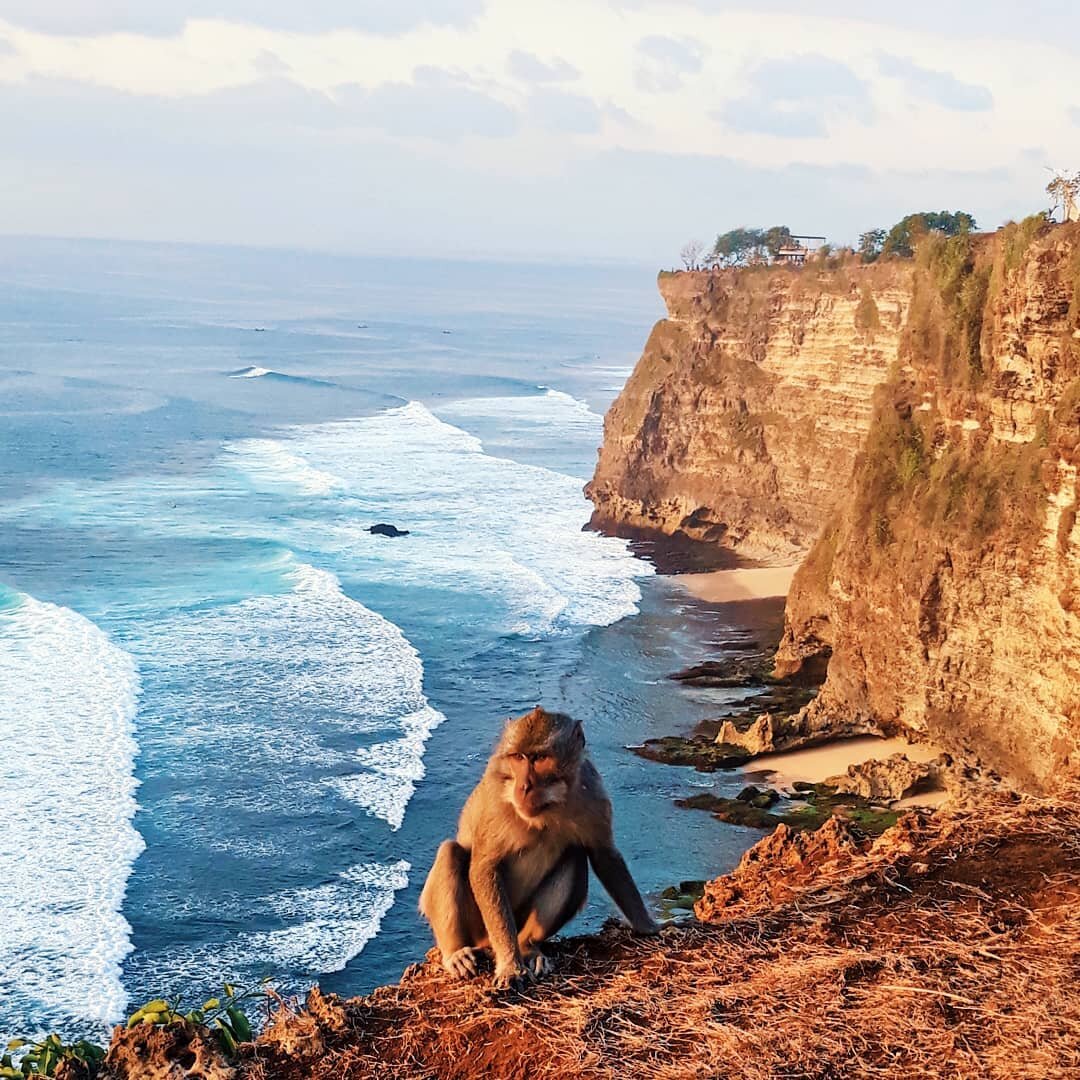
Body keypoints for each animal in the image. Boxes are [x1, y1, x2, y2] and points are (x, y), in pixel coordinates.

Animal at [419, 704, 656, 989]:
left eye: (540, 758)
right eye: (519, 757)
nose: (524, 786)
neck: (549, 808)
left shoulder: (592, 791)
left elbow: (603, 855)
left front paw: (648, 926)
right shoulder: (496, 800)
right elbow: (485, 867)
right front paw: (510, 966)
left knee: (575, 854)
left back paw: (528, 946)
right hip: (480, 929)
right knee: (451, 852)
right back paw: (457, 951)